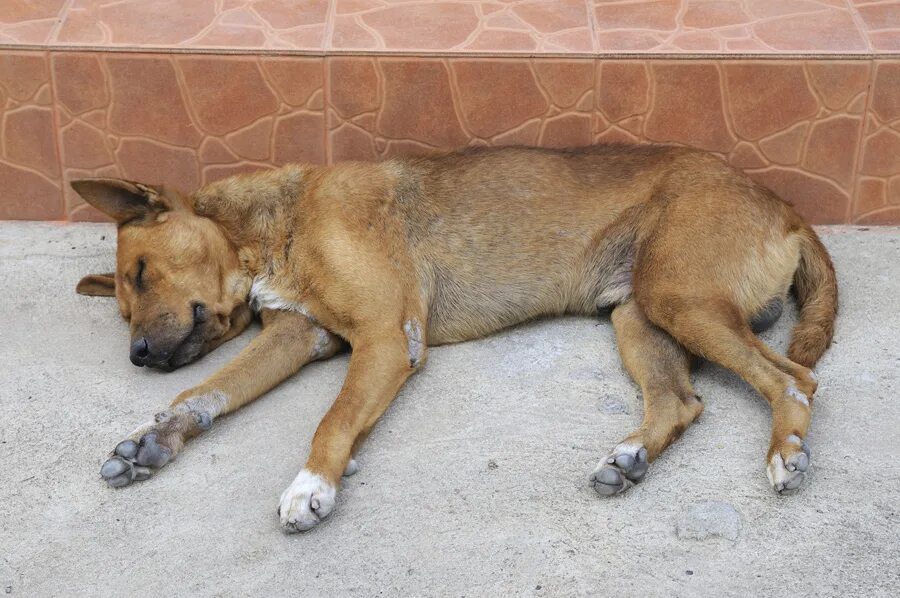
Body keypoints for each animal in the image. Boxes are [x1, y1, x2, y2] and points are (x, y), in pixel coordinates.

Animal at [75, 145, 836, 536]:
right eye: (124, 306)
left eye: (141, 272)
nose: (138, 357)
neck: (275, 225)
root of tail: (785, 205)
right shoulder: (298, 335)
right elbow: (208, 394)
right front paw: (154, 437)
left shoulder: (387, 338)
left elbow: (332, 421)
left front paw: (311, 485)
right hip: (640, 314)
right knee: (681, 401)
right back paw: (628, 459)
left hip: (680, 298)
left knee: (794, 379)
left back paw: (786, 454)